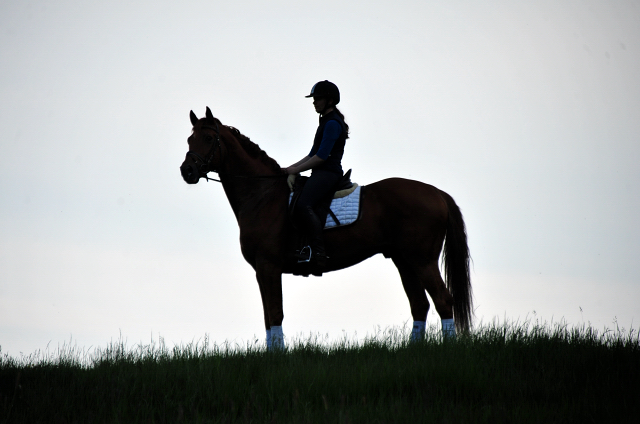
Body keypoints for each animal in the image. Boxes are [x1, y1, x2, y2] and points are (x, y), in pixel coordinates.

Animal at [179, 107, 470, 350]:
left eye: (208, 138)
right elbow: (267, 315)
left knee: (443, 300)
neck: (262, 194)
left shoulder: (268, 266)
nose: (187, 171)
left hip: (422, 260)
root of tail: (437, 193)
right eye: (189, 140)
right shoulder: (262, 270)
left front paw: (277, 356)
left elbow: (275, 313)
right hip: (404, 261)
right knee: (419, 305)